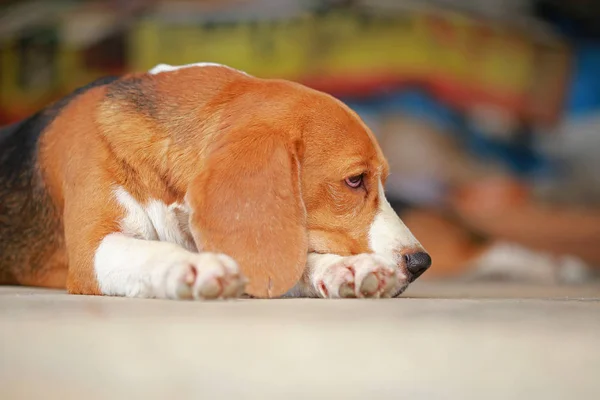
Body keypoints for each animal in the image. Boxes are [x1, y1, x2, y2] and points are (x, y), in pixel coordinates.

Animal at [0, 63, 432, 300]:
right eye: (355, 180)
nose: (421, 263)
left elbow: (292, 263)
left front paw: (343, 269)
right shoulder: (93, 251)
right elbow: (148, 251)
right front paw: (191, 265)